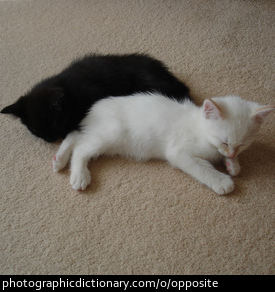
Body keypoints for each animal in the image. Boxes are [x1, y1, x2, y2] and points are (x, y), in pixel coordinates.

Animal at [52, 92, 274, 195]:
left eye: (243, 144)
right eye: (224, 140)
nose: (231, 153)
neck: (200, 129)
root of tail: (94, 108)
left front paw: (233, 165)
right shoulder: (178, 152)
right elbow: (201, 168)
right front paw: (222, 181)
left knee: (75, 135)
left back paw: (59, 159)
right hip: (112, 134)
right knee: (81, 147)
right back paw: (79, 175)